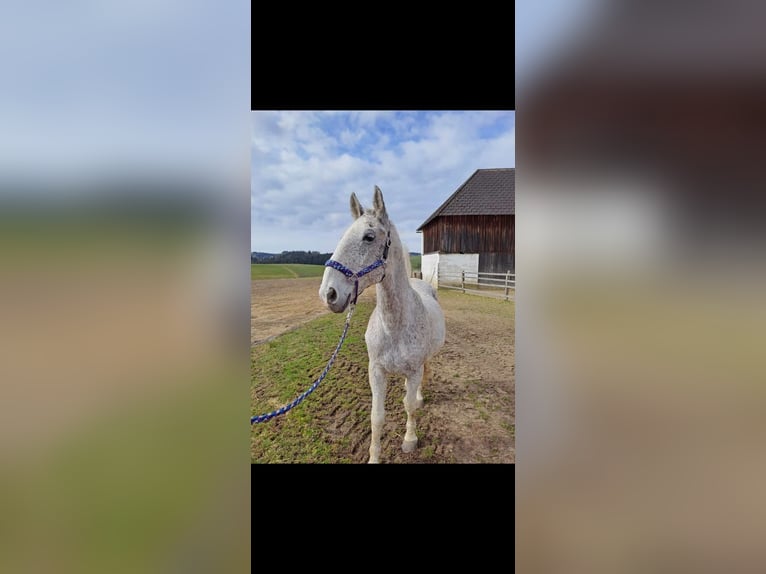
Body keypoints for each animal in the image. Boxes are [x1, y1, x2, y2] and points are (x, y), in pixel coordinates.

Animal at [320, 187, 448, 466]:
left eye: (369, 237)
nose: (328, 294)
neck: (394, 326)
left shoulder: (413, 371)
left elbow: (409, 407)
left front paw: (410, 440)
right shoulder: (376, 371)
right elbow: (376, 418)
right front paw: (374, 457)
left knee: (420, 381)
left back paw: (419, 397)